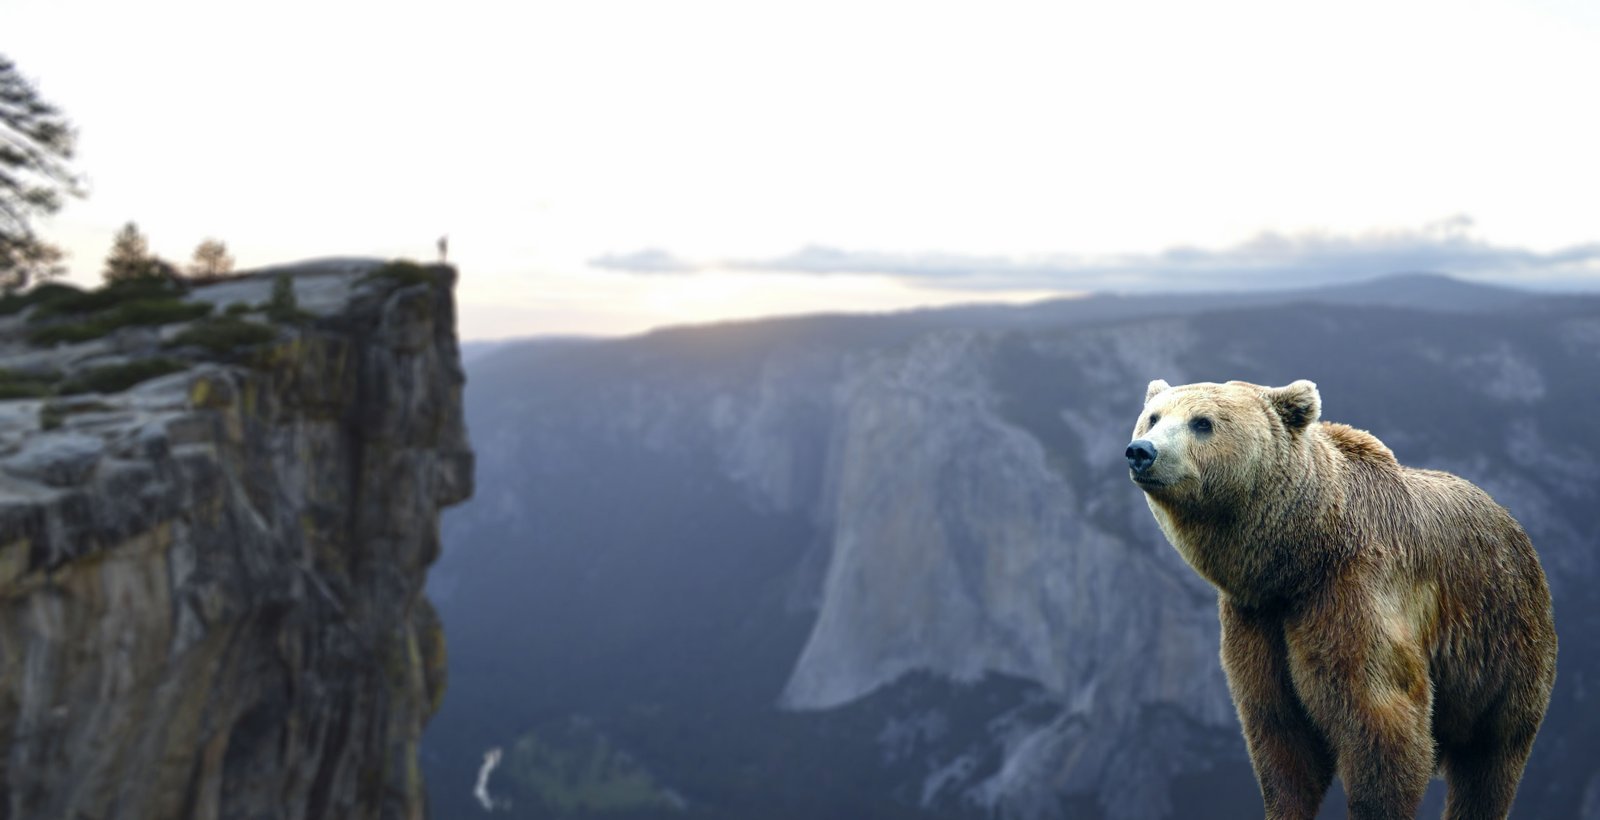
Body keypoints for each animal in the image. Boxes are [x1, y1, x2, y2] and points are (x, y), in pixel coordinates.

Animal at [1125, 379, 1556, 820]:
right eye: (1153, 417)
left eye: (1202, 422)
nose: (1142, 451)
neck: (1300, 558)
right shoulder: (1258, 618)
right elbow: (1279, 730)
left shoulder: (1353, 593)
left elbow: (1381, 716)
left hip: (1501, 644)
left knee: (1491, 759)